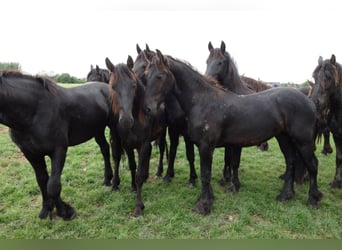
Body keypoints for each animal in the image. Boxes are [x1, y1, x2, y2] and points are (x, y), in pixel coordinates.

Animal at [0, 71, 117, 220]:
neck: (34, 111)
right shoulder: (31, 154)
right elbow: (42, 180)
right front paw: (46, 209)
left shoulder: (58, 150)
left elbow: (53, 185)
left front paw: (65, 211)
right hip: (97, 129)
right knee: (104, 149)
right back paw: (107, 179)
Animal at [105, 55, 167, 216]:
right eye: (113, 87)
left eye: (133, 85)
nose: (126, 121)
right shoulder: (127, 145)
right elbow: (133, 166)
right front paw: (133, 186)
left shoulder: (142, 144)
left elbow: (138, 174)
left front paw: (139, 206)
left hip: (162, 133)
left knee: (162, 149)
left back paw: (158, 172)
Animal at [134, 44, 198, 186]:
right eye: (146, 74)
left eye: (143, 66)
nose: (147, 108)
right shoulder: (173, 129)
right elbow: (173, 151)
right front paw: (168, 175)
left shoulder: (187, 133)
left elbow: (190, 153)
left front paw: (192, 178)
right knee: (163, 147)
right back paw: (159, 171)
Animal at [143, 50, 322, 215]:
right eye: (146, 75)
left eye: (159, 76)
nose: (148, 109)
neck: (203, 101)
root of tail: (310, 101)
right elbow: (208, 173)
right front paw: (207, 198)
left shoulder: (206, 147)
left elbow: (205, 174)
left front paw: (204, 205)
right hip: (284, 138)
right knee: (291, 162)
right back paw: (286, 195)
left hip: (303, 141)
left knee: (312, 165)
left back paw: (313, 199)